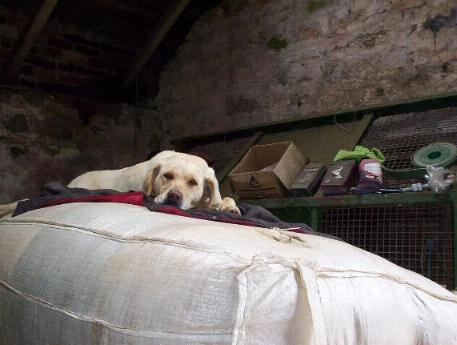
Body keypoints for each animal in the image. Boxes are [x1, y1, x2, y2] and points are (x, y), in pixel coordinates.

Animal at [0, 150, 240, 216]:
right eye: (167, 176)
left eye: (193, 182)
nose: (174, 197)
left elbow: (225, 198)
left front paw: (230, 206)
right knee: (23, 199)